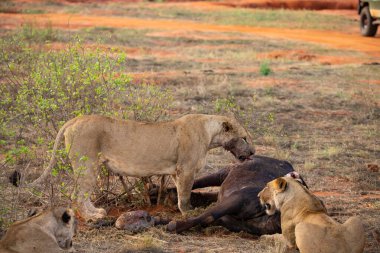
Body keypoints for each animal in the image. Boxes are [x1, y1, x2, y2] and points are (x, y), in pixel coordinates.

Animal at [166, 155, 306, 236]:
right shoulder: (236, 199)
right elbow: (208, 216)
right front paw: (172, 225)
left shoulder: (227, 221)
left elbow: (205, 220)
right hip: (224, 171)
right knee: (198, 182)